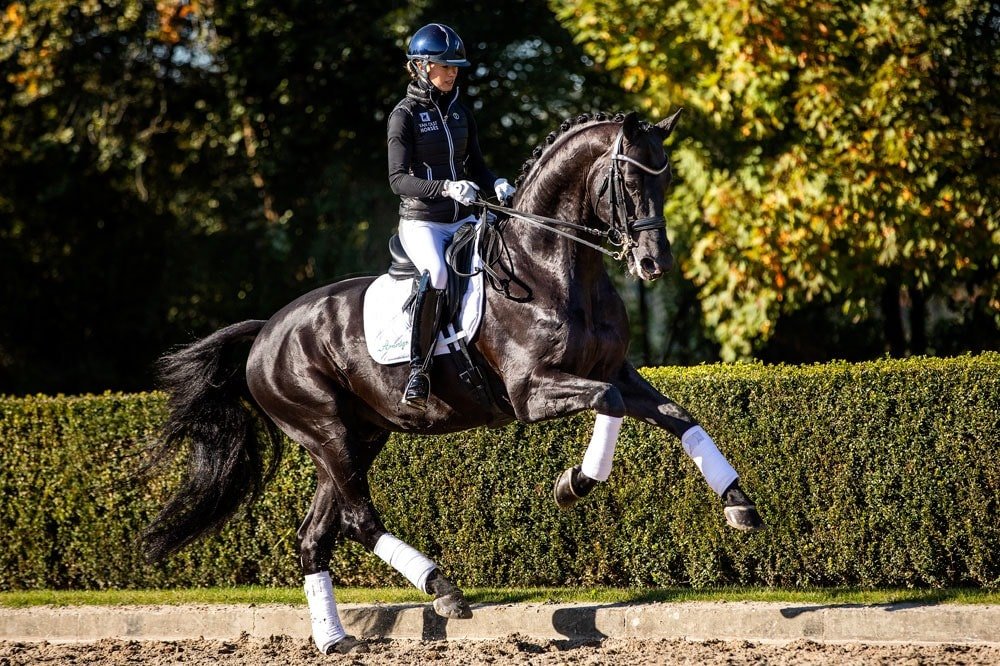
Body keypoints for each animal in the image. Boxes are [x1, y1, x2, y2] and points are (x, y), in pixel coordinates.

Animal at [143, 110, 765, 655]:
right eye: (630, 179)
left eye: (667, 177)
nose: (654, 264)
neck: (554, 268)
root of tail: (266, 332)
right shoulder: (533, 391)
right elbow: (607, 405)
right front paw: (574, 483)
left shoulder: (612, 372)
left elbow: (679, 417)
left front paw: (739, 505)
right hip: (325, 431)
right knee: (358, 520)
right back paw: (441, 589)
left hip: (357, 437)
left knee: (316, 536)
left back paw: (335, 639)